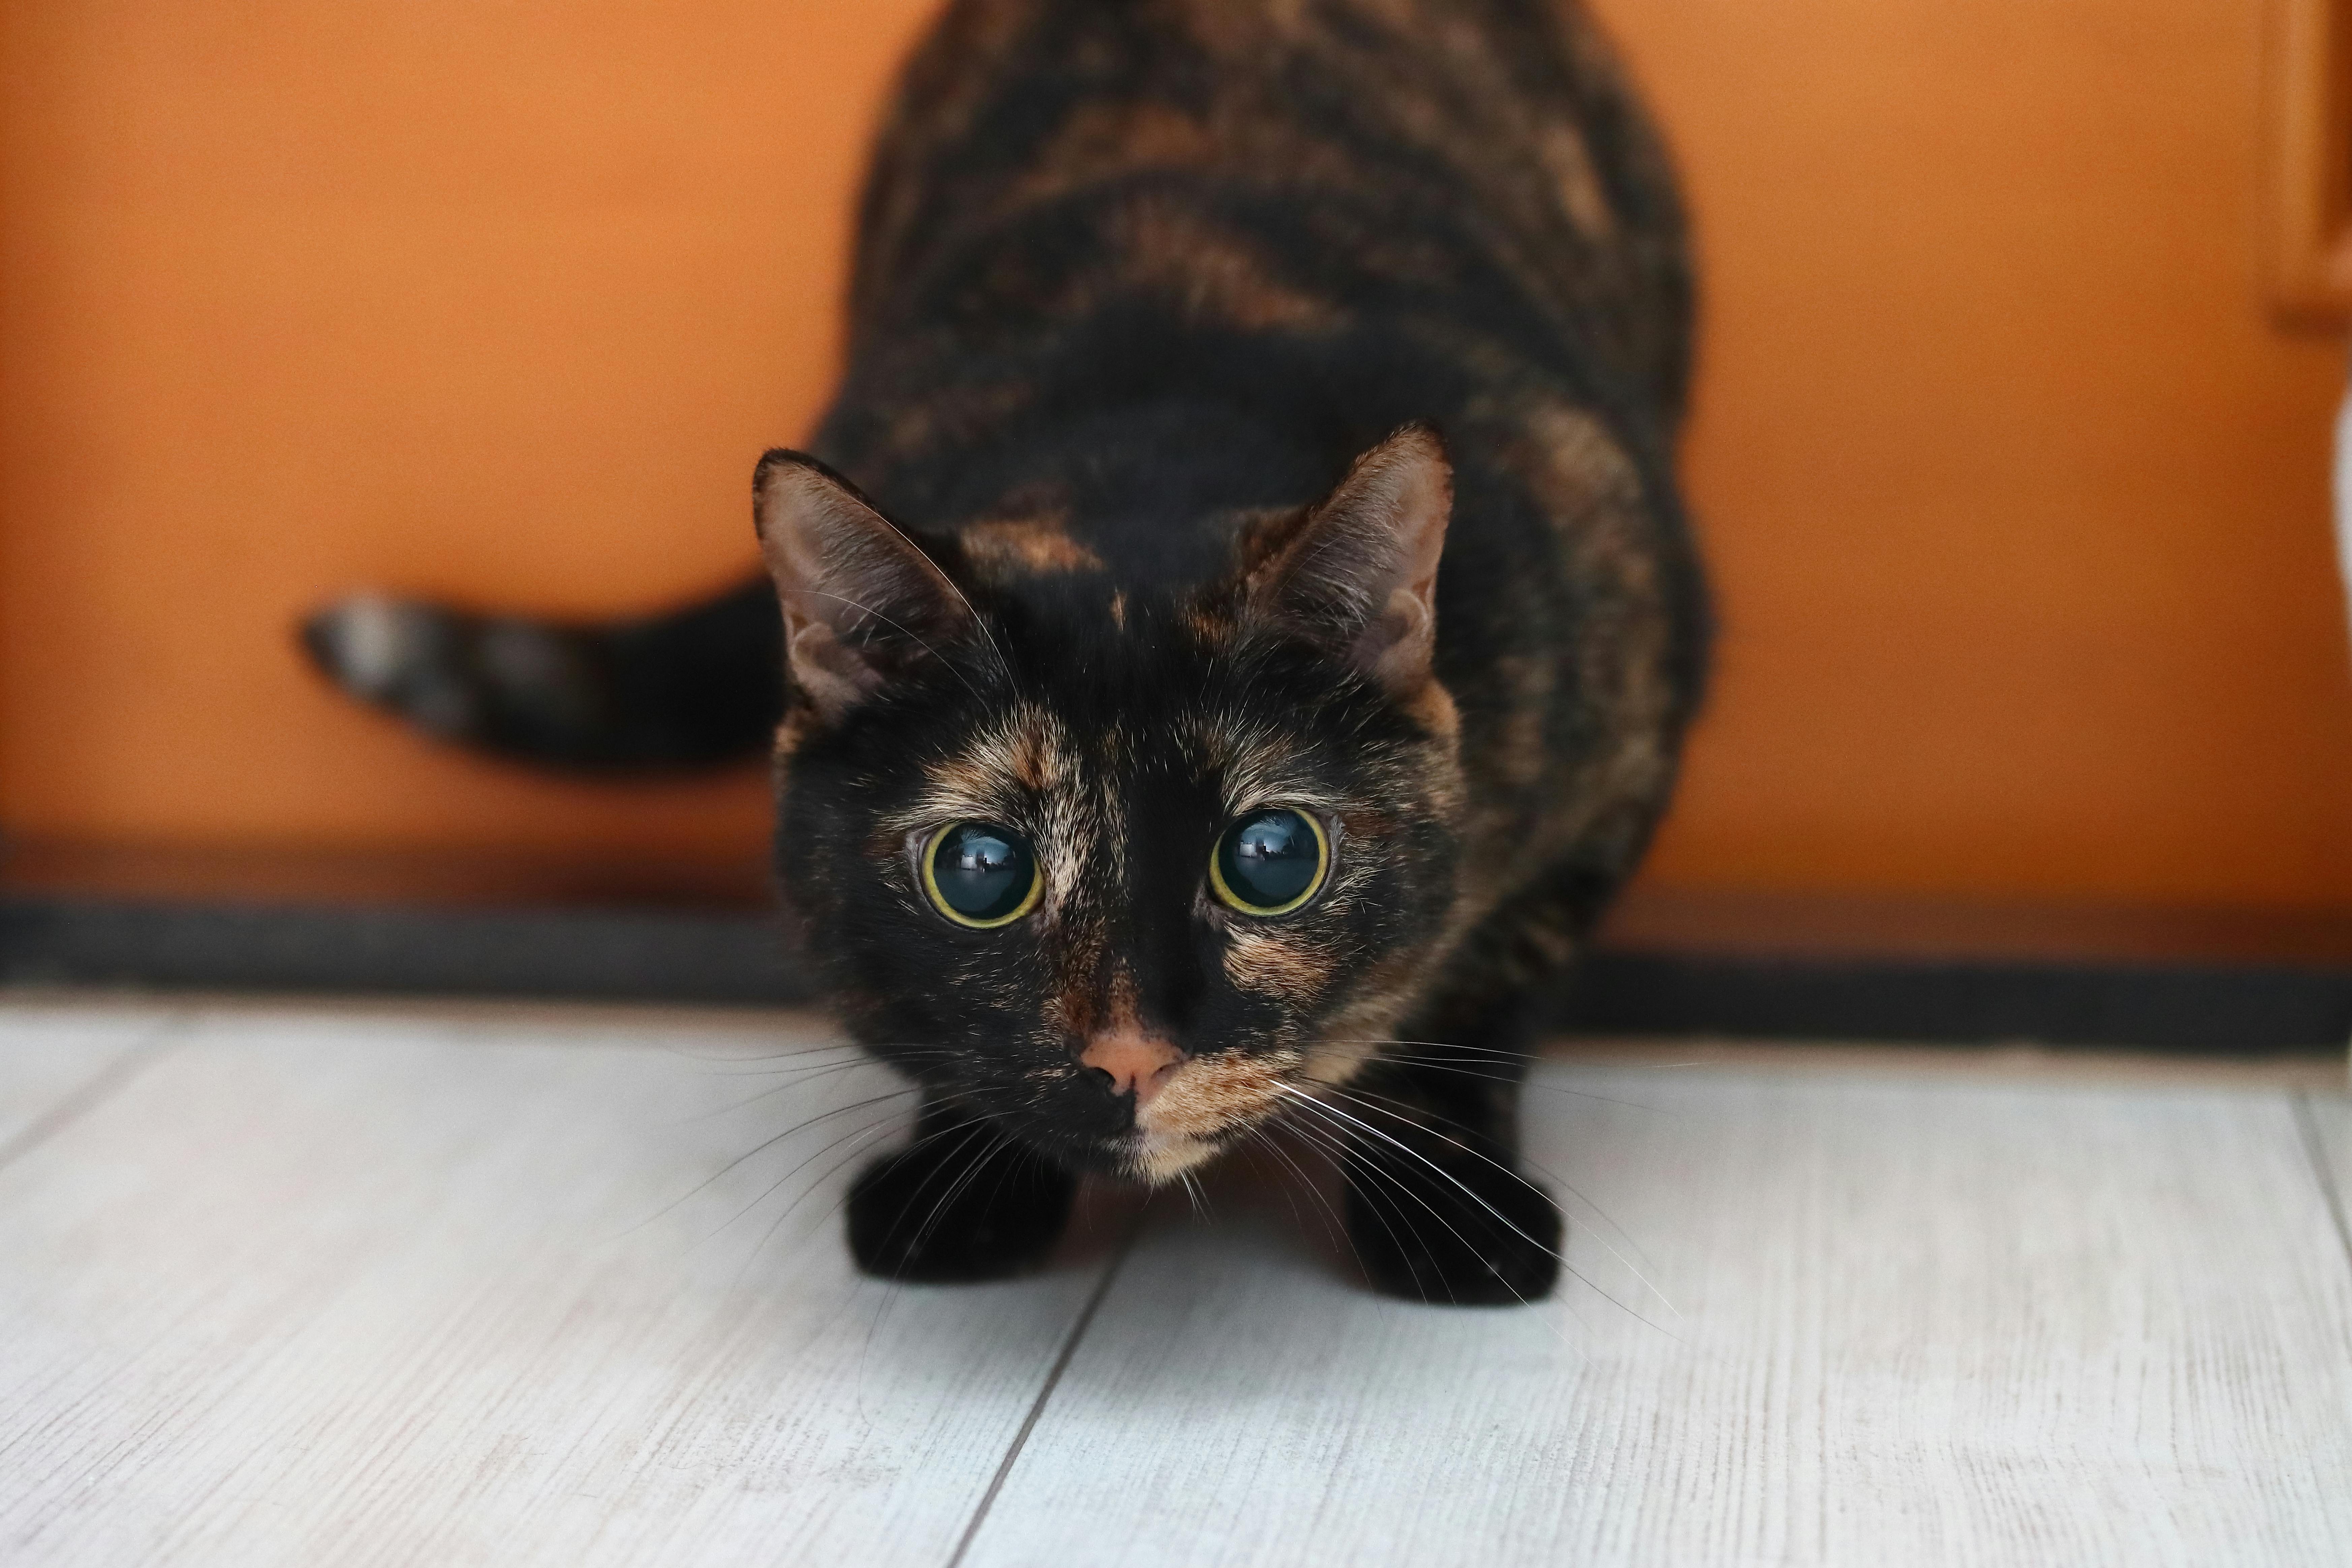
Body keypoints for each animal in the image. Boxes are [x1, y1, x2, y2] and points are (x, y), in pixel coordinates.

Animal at [313, 0, 1712, 1307]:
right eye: (979, 871)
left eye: (1272, 857)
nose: (1132, 1053)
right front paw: (959, 1185)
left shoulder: (1624, 696)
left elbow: (1485, 982)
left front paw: (1452, 1211)